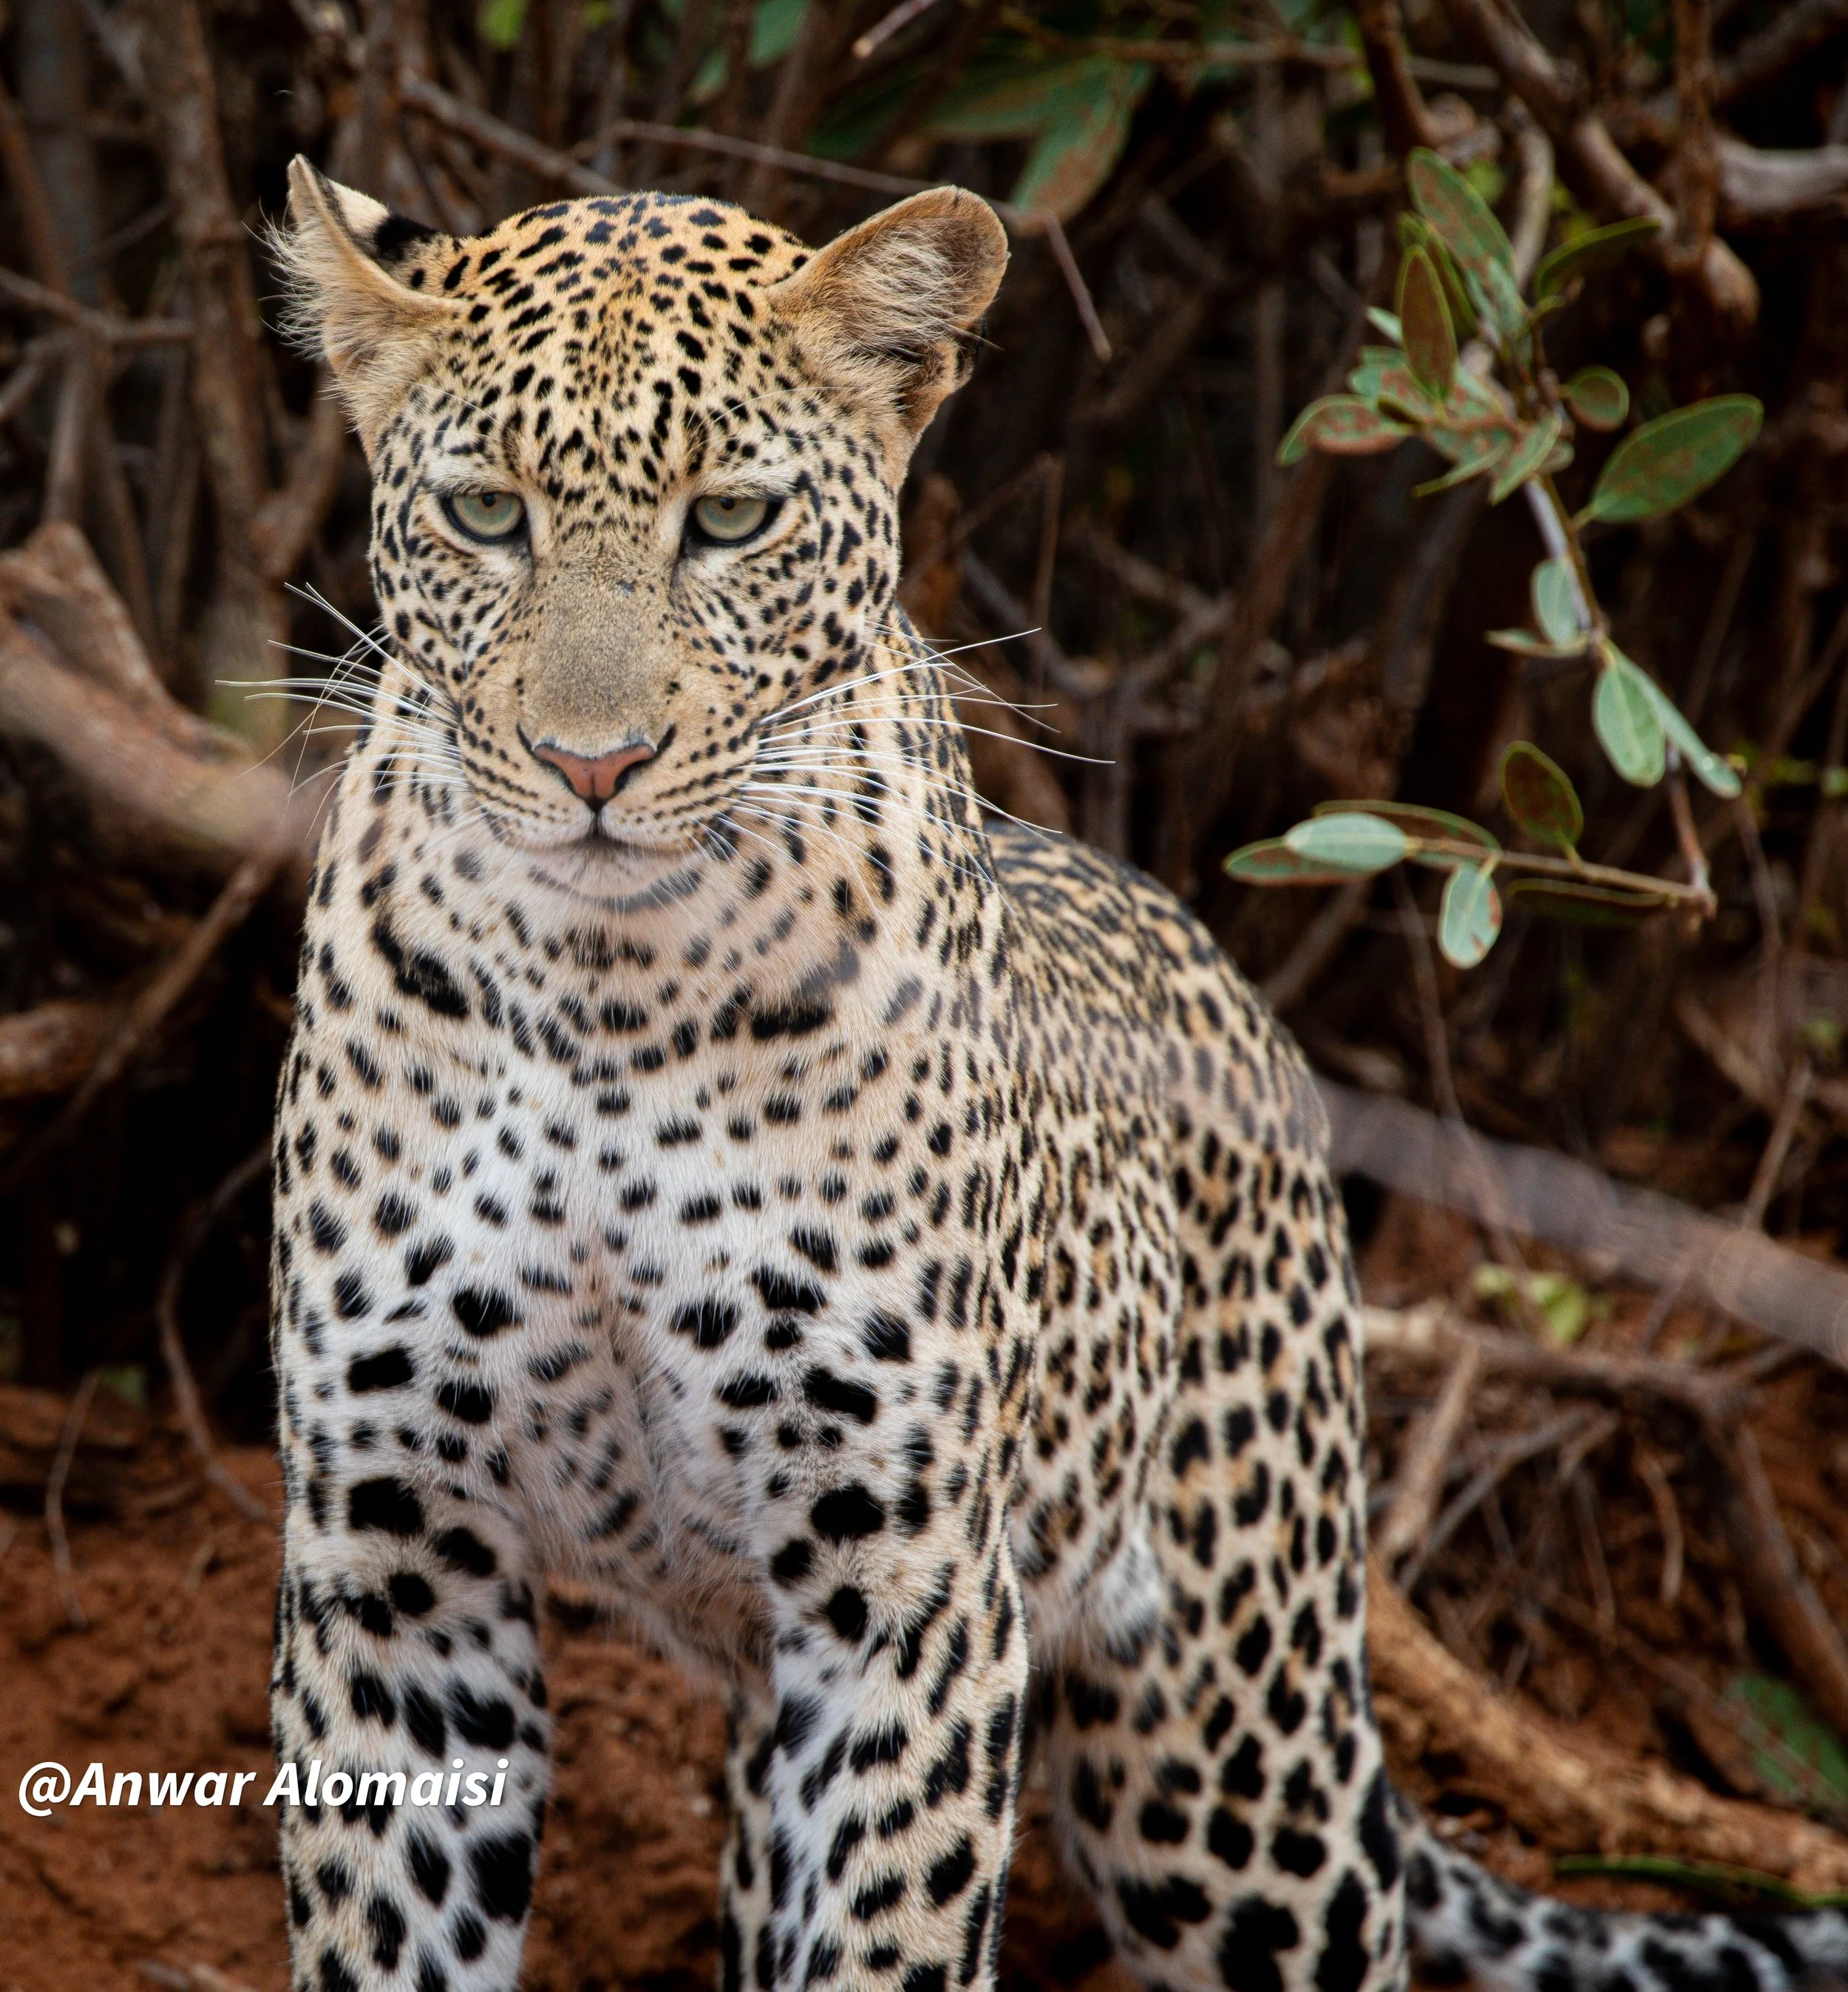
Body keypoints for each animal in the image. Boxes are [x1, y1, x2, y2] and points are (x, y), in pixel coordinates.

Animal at [265, 154, 1848, 1992]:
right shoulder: (390, 1556)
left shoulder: (906, 1581)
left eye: (727, 522)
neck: (608, 996)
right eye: (483, 516)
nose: (591, 765)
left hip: (1229, 1754)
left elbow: (888, 1928)